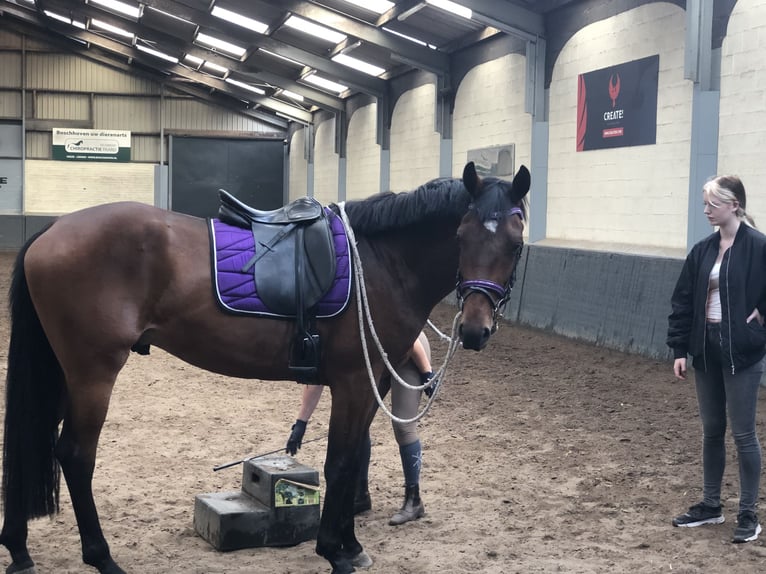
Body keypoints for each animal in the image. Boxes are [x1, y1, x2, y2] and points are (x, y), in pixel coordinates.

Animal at [0, 163, 528, 574]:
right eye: (461, 234)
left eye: (516, 241)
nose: (476, 330)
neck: (380, 263)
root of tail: (52, 231)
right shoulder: (355, 383)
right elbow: (340, 462)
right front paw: (334, 551)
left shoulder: (370, 382)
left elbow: (356, 456)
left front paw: (351, 545)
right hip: (93, 373)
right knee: (75, 454)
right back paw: (101, 556)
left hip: (65, 373)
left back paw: (19, 549)